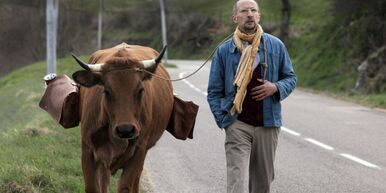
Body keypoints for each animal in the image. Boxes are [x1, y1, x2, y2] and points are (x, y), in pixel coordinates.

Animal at [71, 43, 174, 192]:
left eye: (140, 90)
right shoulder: (87, 150)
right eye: (106, 91)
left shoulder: (139, 152)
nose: (125, 130)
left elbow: (125, 186)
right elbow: (93, 187)